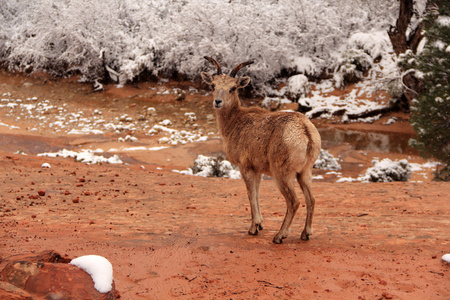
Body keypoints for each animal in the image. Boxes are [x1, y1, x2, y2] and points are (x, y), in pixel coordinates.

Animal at [202, 56, 322, 244]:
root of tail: (306, 132)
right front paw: (260, 224)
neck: (234, 122)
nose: (218, 102)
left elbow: (251, 194)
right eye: (213, 85)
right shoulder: (257, 169)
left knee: (294, 201)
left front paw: (253, 228)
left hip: (282, 172)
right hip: (305, 171)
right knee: (312, 199)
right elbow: (257, 194)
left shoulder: (245, 166)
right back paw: (306, 233)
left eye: (233, 88)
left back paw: (280, 236)